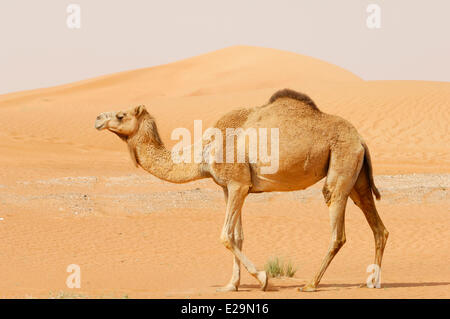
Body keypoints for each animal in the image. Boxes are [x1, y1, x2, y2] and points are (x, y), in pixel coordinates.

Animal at [94, 89, 386, 292]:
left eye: (121, 115)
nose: (97, 118)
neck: (205, 150)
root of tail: (361, 138)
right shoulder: (230, 187)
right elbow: (237, 236)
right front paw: (231, 285)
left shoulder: (237, 184)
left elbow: (224, 235)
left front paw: (264, 279)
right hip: (357, 178)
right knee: (378, 227)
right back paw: (373, 282)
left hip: (341, 164)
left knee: (337, 229)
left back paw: (311, 284)